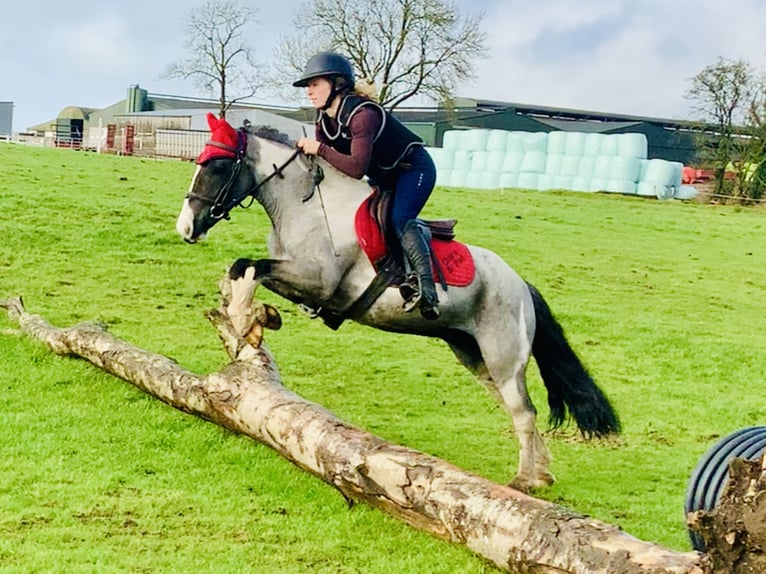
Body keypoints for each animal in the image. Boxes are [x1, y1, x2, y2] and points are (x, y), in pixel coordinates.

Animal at [174, 113, 616, 496]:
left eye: (217, 166)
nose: (186, 229)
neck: (306, 205)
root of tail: (521, 285)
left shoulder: (319, 281)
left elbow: (248, 267)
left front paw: (243, 320)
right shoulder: (302, 283)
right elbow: (241, 271)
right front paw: (255, 316)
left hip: (503, 356)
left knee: (524, 412)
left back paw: (525, 481)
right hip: (473, 355)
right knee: (521, 409)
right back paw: (542, 474)